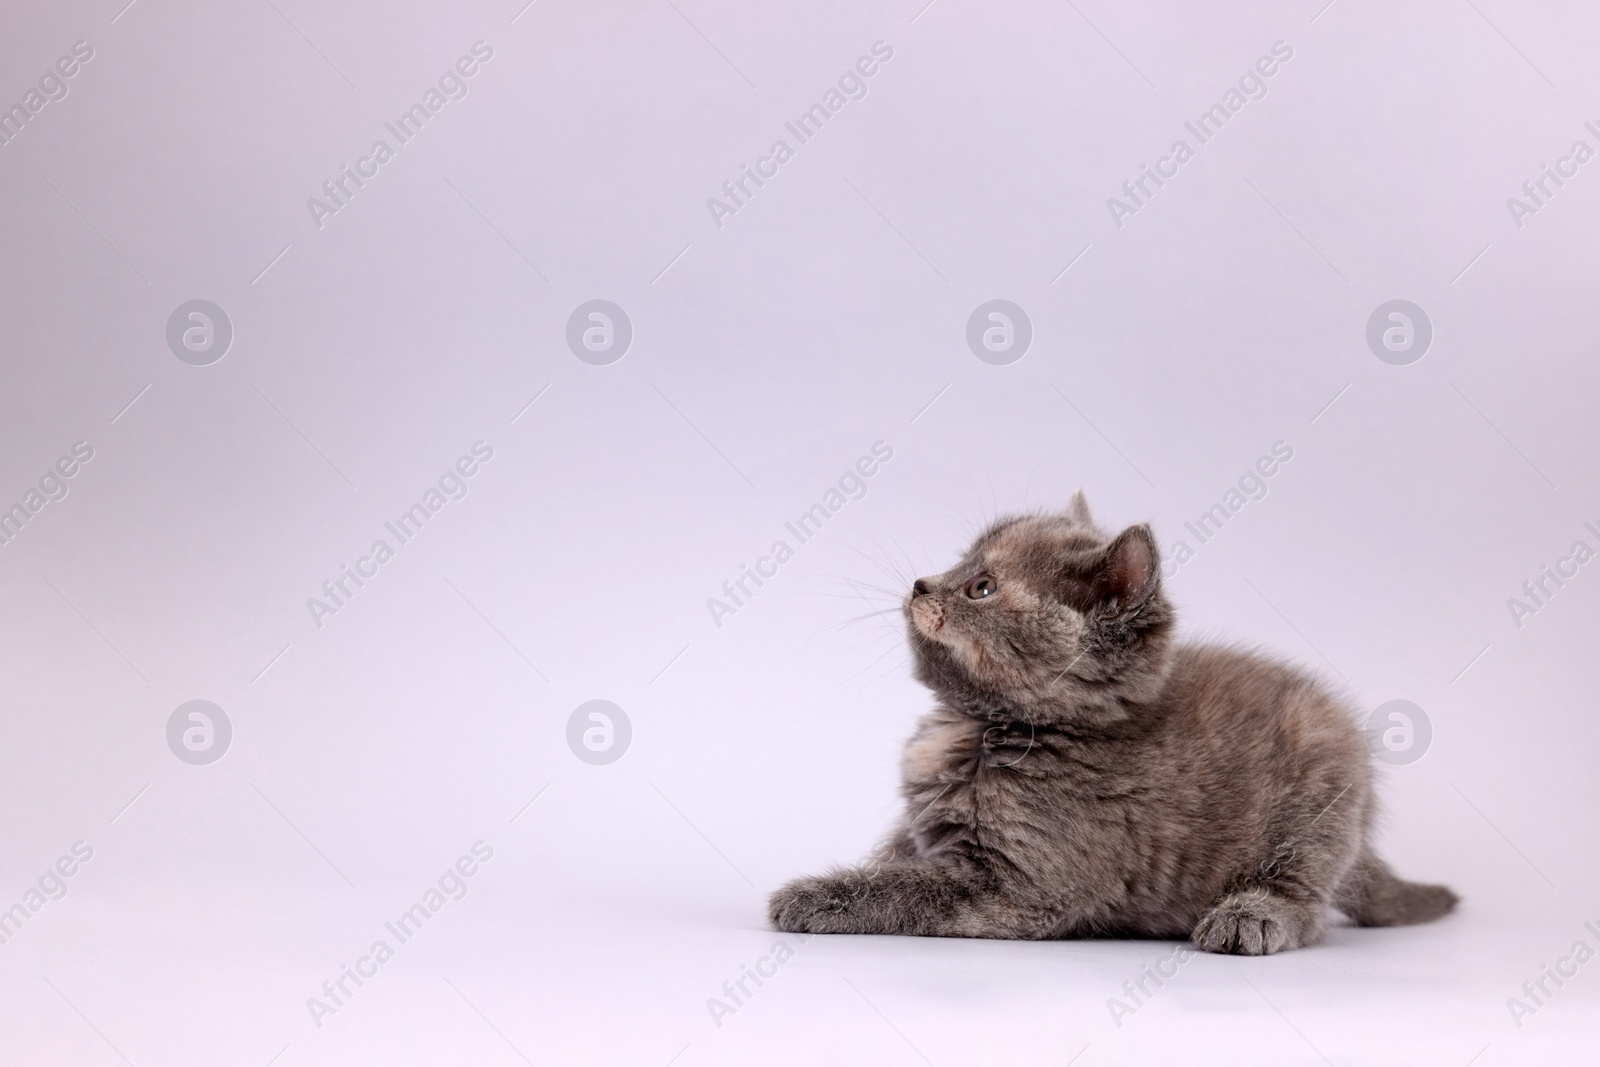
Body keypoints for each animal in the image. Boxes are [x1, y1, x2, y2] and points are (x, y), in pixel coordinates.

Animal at [768, 495, 1459, 953]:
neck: (986, 729)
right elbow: (889, 857)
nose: (920, 583)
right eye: (959, 564)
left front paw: (809, 897)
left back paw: (1250, 917)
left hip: (1319, 790)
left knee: (1306, 895)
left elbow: (901, 888)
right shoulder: (922, 831)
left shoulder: (1016, 887)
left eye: (982, 588)